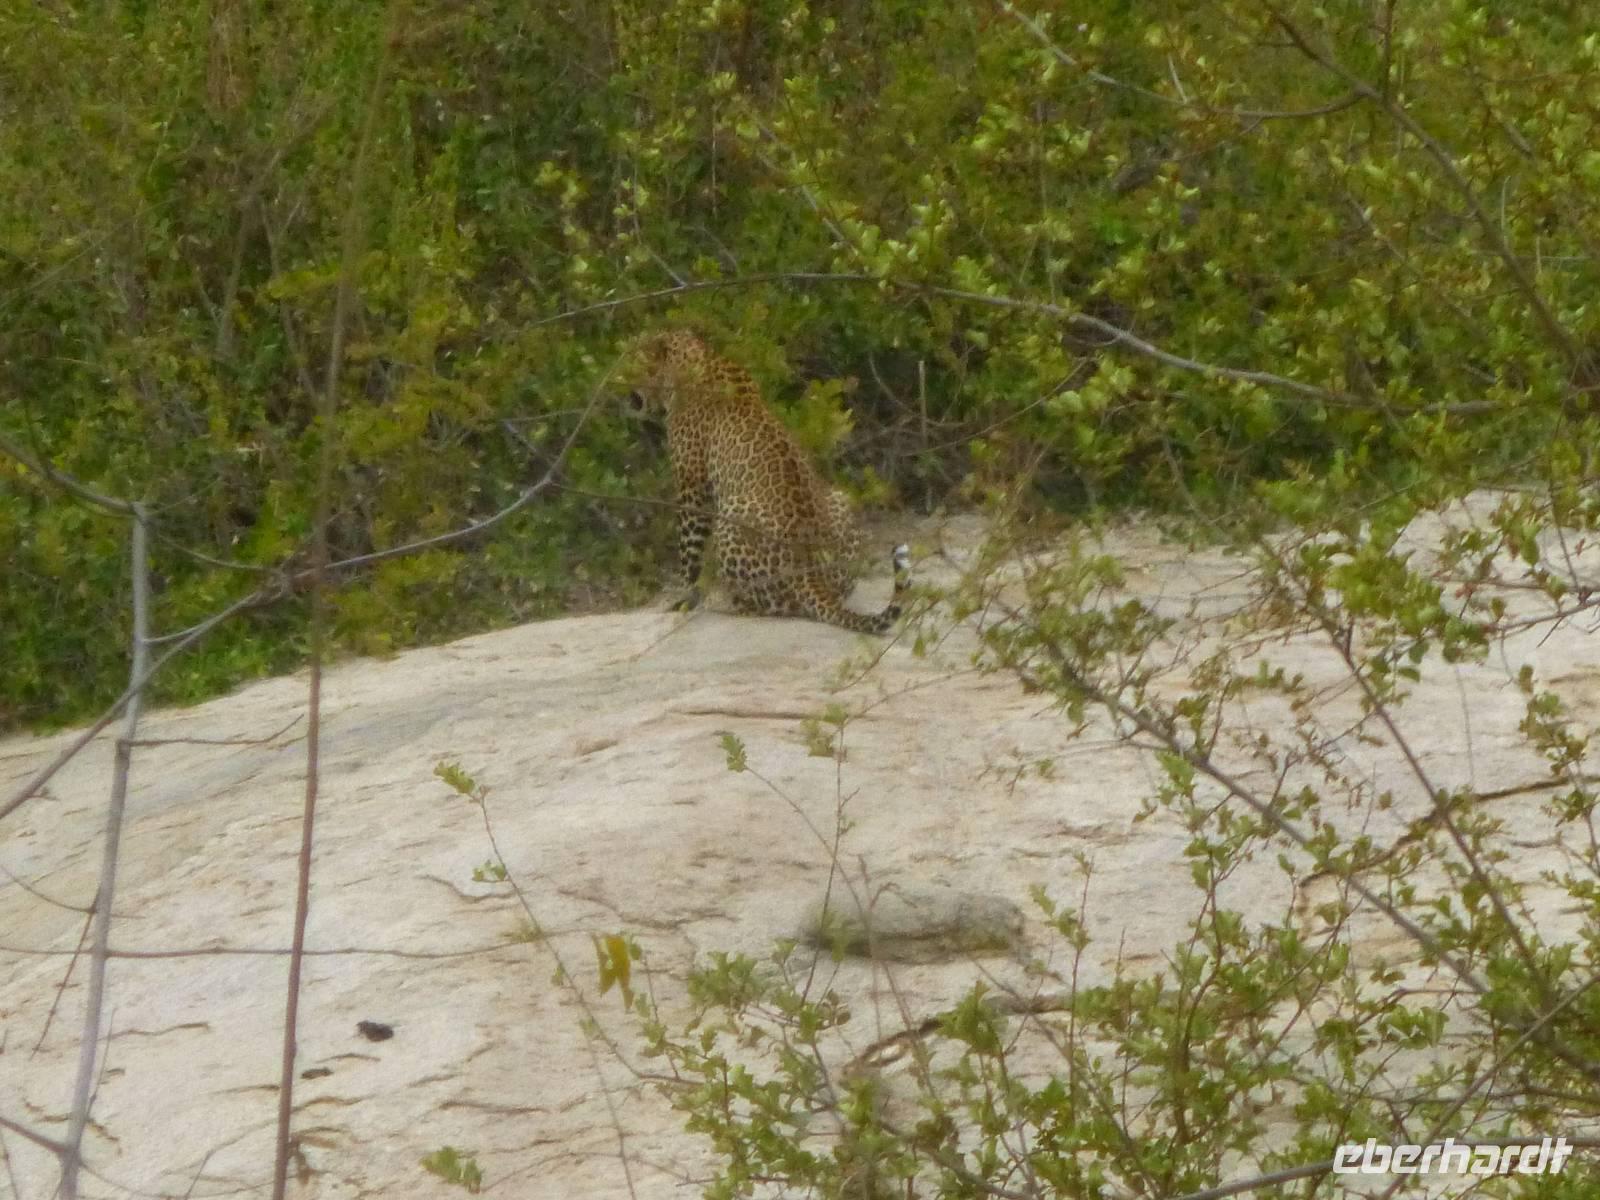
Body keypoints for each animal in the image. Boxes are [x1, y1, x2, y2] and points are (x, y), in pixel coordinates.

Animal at [620, 329, 910, 635]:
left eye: (632, 359)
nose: (617, 377)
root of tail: (810, 575)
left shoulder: (691, 485)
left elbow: (689, 550)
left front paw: (687, 597)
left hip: (730, 518)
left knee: (769, 606)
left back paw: (726, 602)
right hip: (839, 499)